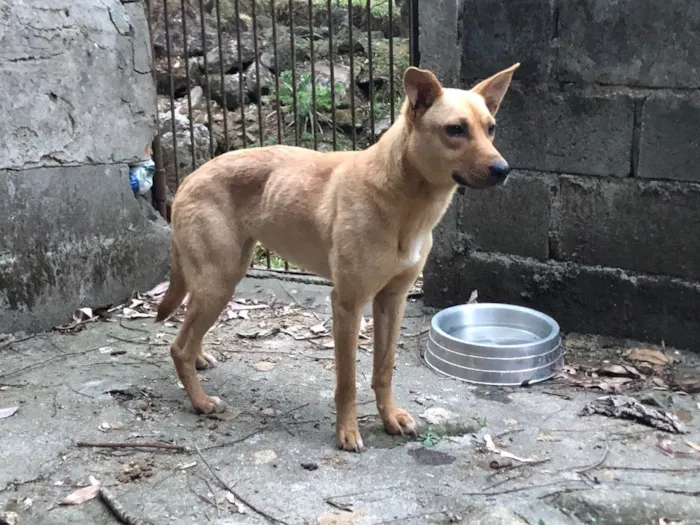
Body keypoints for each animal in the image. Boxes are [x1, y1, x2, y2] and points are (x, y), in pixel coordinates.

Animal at [159, 63, 520, 450]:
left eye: (491, 128)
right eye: (455, 129)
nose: (504, 169)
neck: (406, 200)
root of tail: (190, 177)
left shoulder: (392, 301)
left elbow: (383, 369)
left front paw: (389, 417)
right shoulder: (347, 304)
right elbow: (347, 380)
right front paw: (347, 431)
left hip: (219, 279)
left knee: (189, 329)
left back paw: (199, 358)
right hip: (220, 282)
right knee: (177, 347)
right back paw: (200, 400)